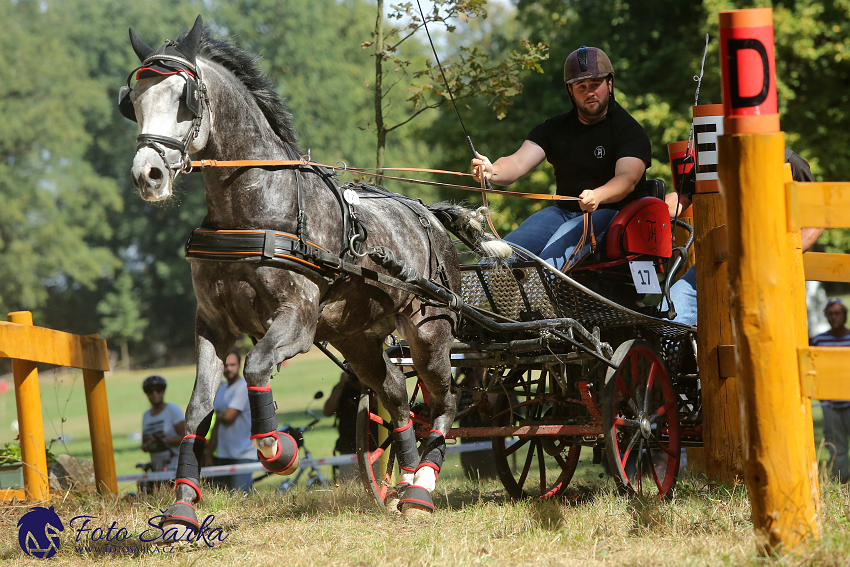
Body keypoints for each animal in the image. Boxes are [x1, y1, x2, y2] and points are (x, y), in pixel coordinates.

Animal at [118, 16, 504, 532]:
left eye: (186, 98)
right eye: (134, 100)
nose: (149, 174)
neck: (257, 208)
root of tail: (431, 216)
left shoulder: (296, 321)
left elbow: (256, 365)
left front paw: (276, 450)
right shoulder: (213, 325)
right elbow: (198, 408)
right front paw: (182, 507)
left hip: (431, 330)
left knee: (443, 402)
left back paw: (422, 488)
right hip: (357, 338)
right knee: (396, 394)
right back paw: (401, 480)